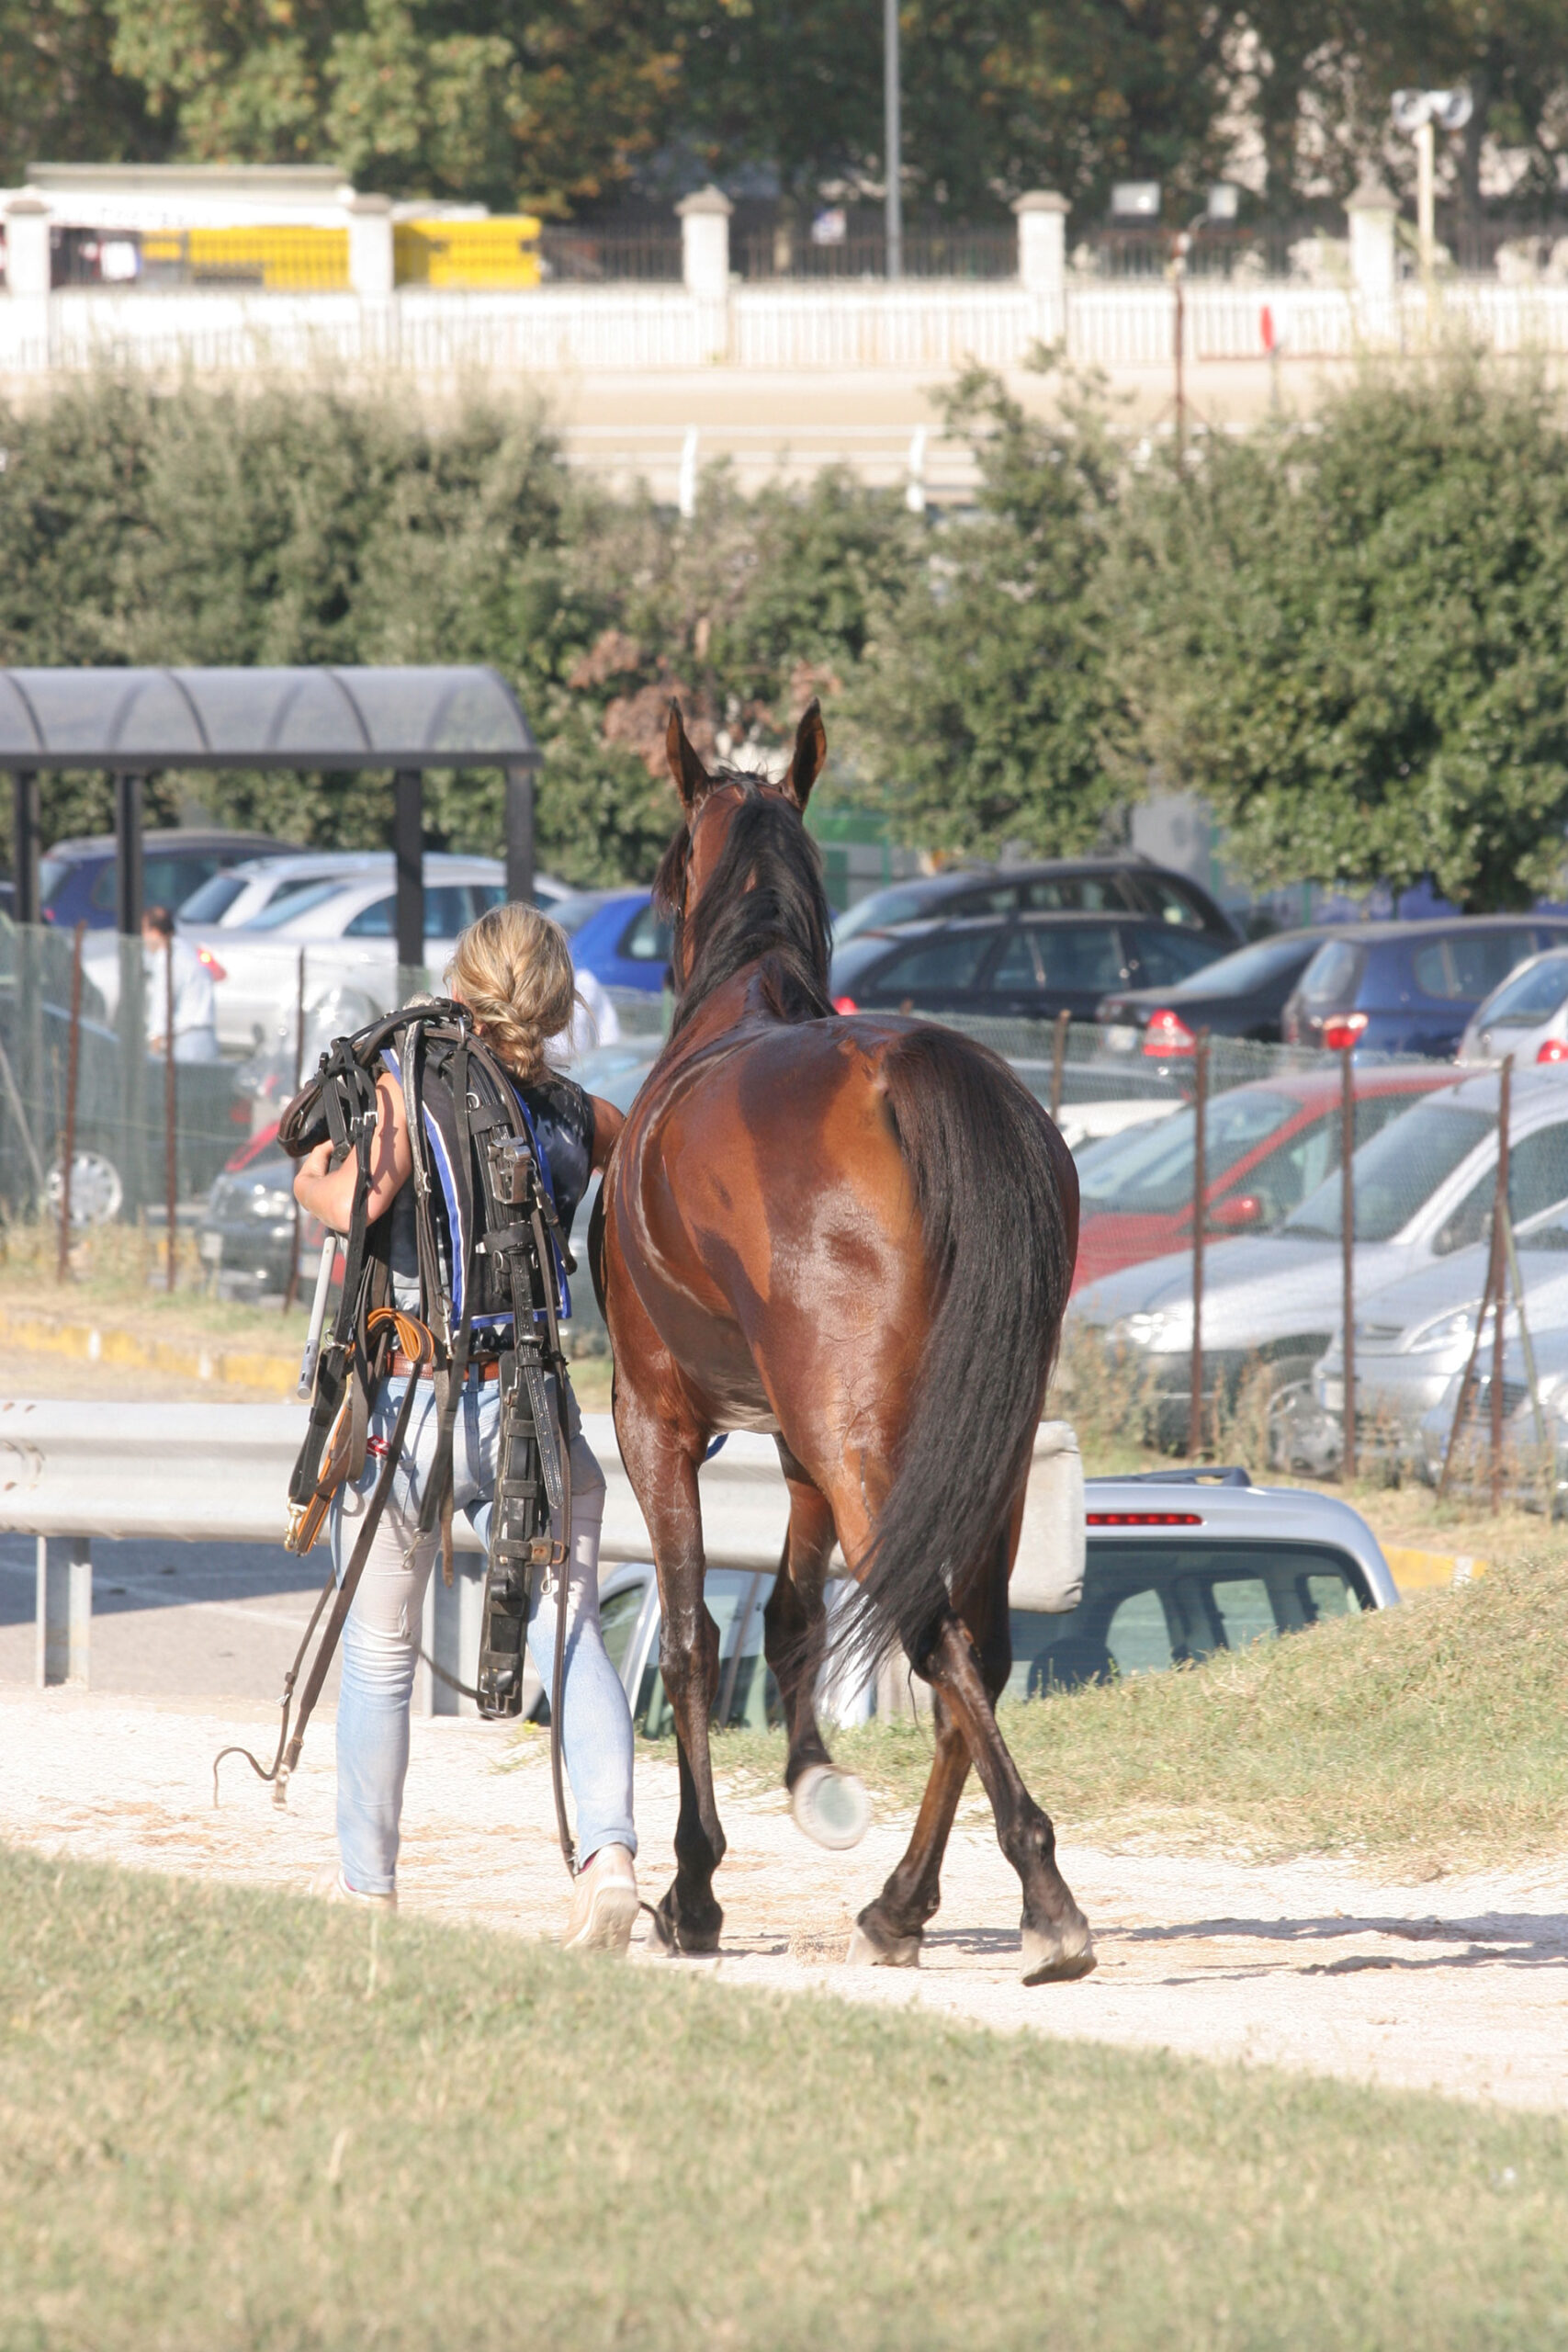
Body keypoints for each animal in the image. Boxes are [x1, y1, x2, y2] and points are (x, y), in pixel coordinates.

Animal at [594, 695, 1100, 1984]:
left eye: (664, 869)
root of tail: (918, 1070)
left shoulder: (658, 1420)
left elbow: (688, 1636)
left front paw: (695, 1886)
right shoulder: (799, 1449)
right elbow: (789, 1619)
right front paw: (813, 1779)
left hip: (867, 1445)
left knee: (938, 1638)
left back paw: (1039, 1891)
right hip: (977, 1454)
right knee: (977, 1647)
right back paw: (905, 1900)